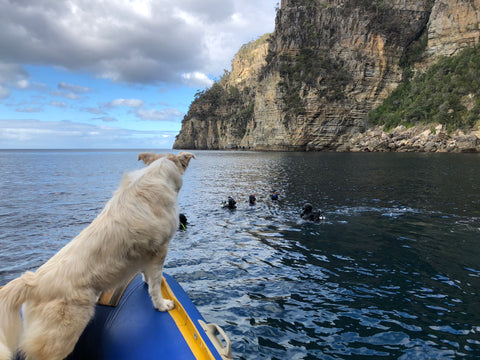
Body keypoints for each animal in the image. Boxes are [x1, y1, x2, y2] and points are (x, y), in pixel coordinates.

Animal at [0, 150, 196, 358]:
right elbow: (155, 285)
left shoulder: (146, 252)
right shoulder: (160, 249)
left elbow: (147, 273)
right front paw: (161, 305)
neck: (158, 173)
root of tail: (33, 282)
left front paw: (145, 279)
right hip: (61, 338)